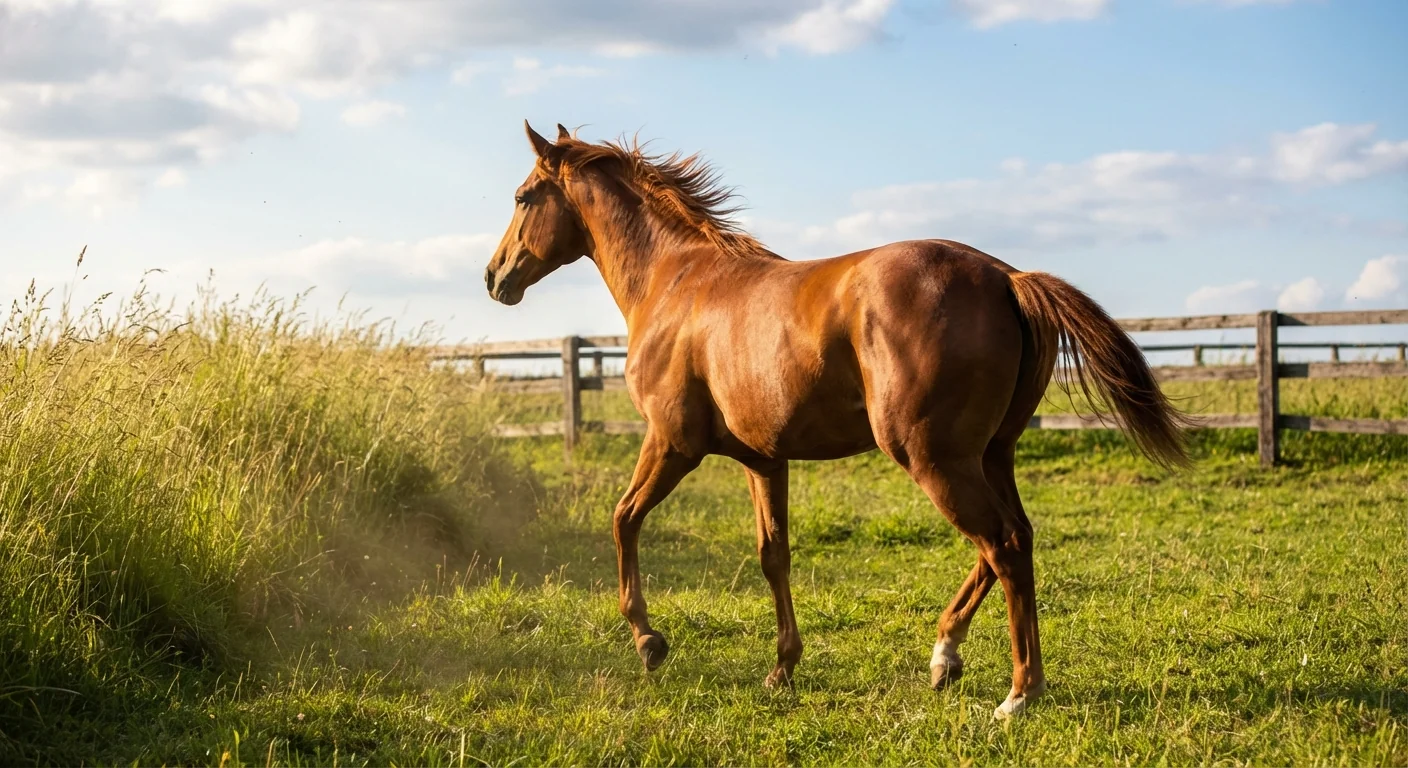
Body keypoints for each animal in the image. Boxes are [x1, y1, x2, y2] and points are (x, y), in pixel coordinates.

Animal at [484, 121, 1191, 719]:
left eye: (522, 196)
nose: (494, 277)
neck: (675, 281)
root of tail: (1008, 278)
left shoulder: (671, 442)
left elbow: (623, 519)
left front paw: (649, 642)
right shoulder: (764, 460)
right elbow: (774, 554)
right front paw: (781, 669)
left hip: (933, 458)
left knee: (1003, 545)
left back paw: (1018, 693)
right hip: (992, 455)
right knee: (1012, 539)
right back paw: (945, 656)